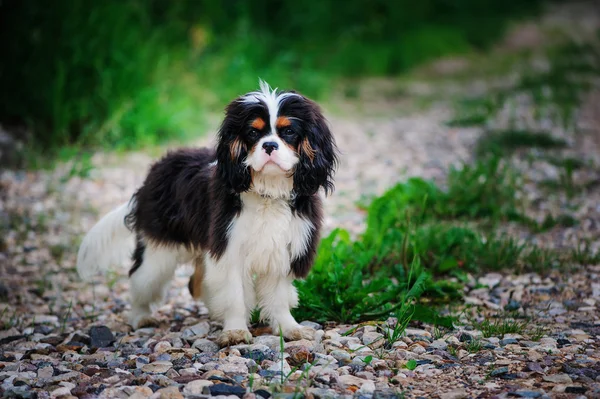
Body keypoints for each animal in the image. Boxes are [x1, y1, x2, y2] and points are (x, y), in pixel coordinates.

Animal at [76, 81, 338, 346]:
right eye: (253, 133)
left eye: (289, 132)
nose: (269, 145)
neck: (268, 191)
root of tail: (153, 174)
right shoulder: (229, 250)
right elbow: (234, 295)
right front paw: (235, 331)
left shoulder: (284, 250)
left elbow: (279, 297)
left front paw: (288, 328)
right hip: (157, 255)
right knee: (140, 279)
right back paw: (141, 317)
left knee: (198, 282)